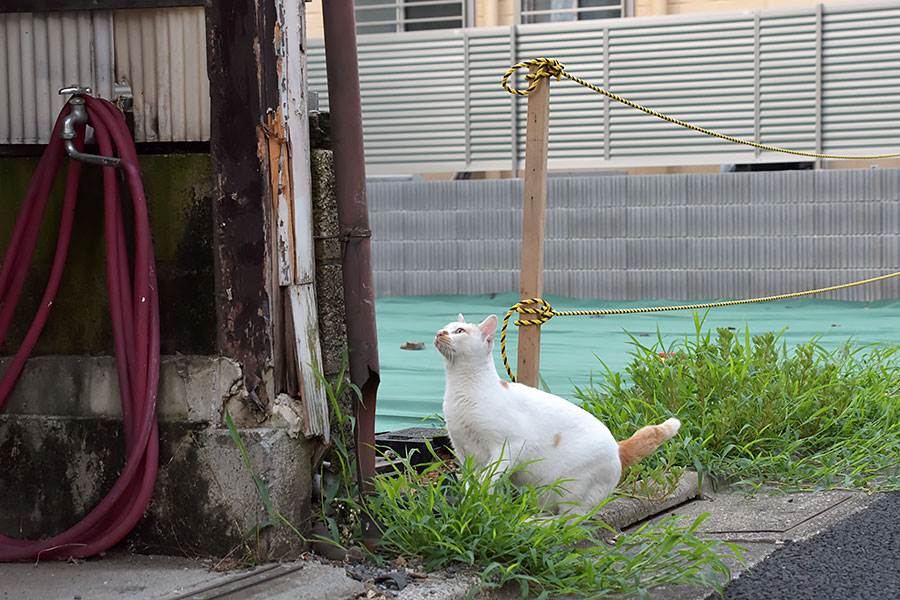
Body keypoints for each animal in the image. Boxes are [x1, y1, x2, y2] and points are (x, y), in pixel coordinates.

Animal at [432, 314, 680, 516]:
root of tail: (619, 447)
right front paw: (473, 502)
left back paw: (534, 525)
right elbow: (471, 482)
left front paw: (480, 498)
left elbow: (488, 478)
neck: (460, 390)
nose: (439, 332)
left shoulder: (510, 446)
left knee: (568, 521)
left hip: (572, 488)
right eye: (445, 327)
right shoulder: (466, 453)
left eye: (459, 331)